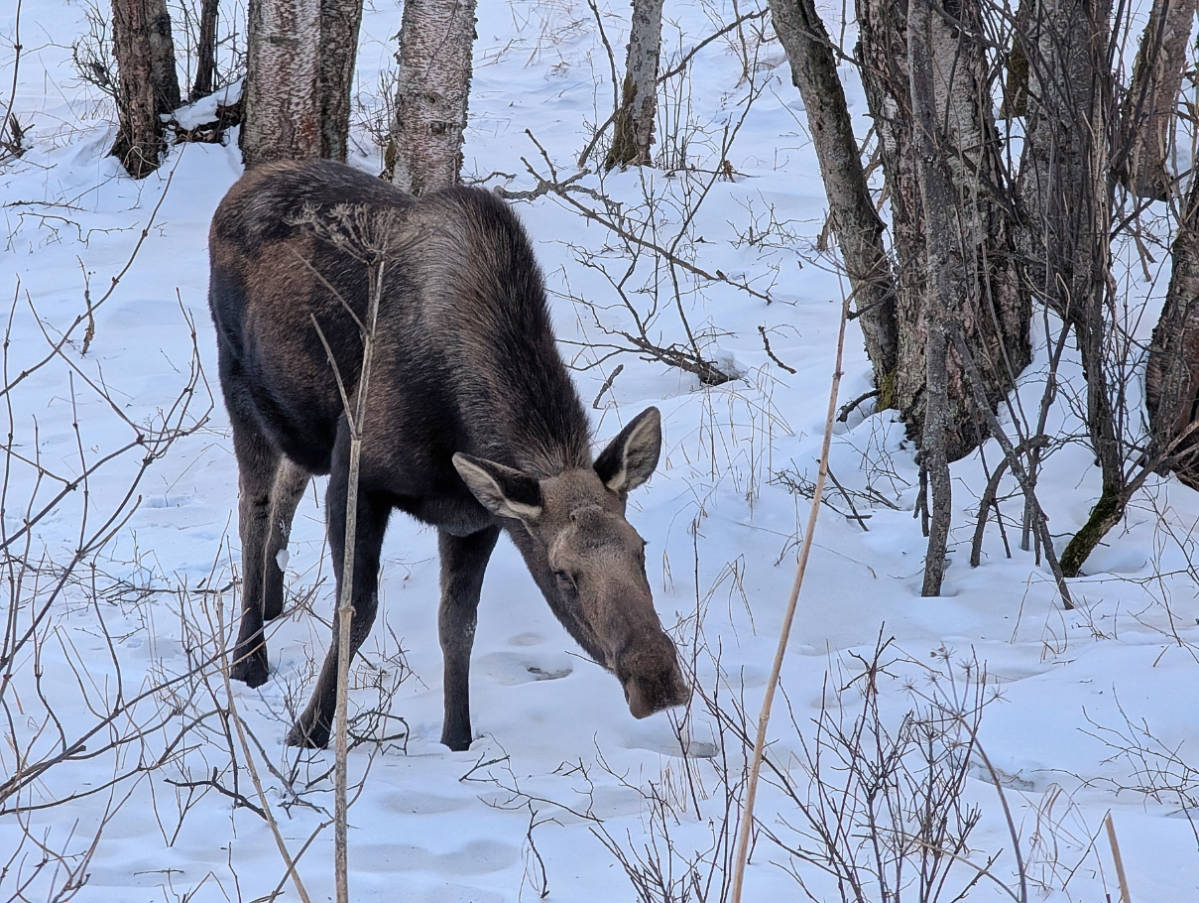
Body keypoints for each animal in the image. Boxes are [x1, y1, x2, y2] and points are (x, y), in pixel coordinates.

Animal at [207, 159, 689, 750]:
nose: (658, 680)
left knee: (287, 489)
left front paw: (456, 737)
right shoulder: (357, 478)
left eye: (640, 549)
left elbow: (458, 625)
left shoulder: (475, 517)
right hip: (238, 384)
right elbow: (356, 610)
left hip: (305, 420)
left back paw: (274, 604)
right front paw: (310, 731)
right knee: (252, 509)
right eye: (563, 574)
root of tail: (242, 186)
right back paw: (249, 658)